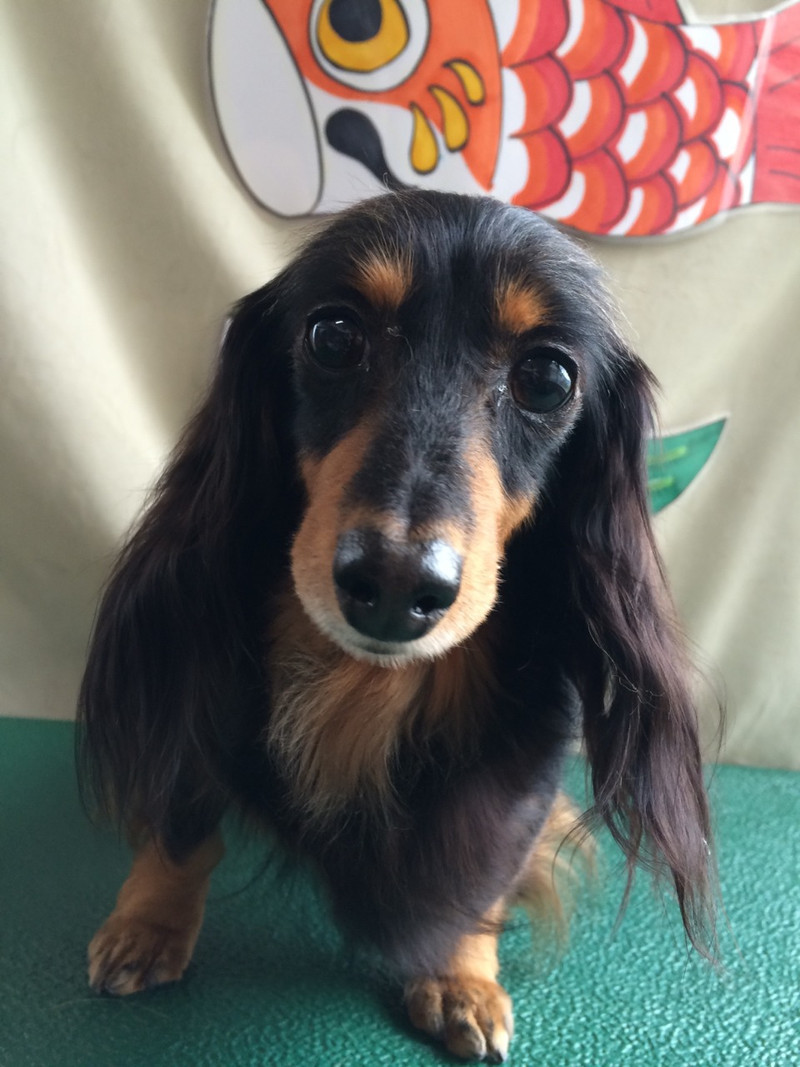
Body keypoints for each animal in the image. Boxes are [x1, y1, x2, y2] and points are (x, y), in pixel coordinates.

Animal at [78, 190, 714, 1062]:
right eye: (333, 335)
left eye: (548, 378)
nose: (394, 584)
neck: (365, 681)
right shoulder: (197, 694)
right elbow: (183, 825)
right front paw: (149, 922)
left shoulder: (523, 770)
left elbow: (484, 873)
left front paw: (459, 974)